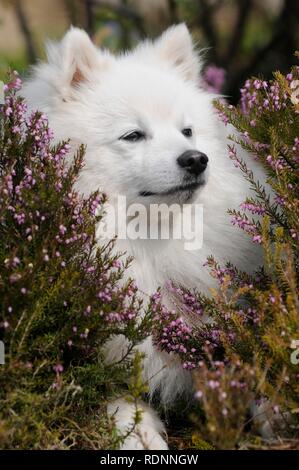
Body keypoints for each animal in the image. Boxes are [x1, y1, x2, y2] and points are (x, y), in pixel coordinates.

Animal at [24, 24, 264, 448]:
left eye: (187, 131)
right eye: (133, 135)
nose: (196, 159)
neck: (147, 242)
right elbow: (112, 388)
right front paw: (137, 430)